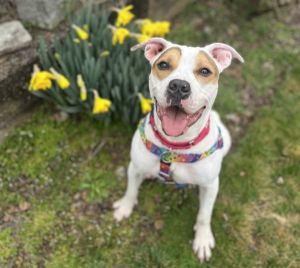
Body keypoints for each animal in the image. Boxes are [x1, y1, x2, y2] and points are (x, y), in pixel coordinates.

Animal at [112, 37, 244, 262]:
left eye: (205, 71)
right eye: (163, 65)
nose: (179, 86)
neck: (173, 147)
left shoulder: (210, 186)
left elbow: (204, 215)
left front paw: (202, 239)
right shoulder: (135, 167)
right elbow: (131, 190)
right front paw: (125, 207)